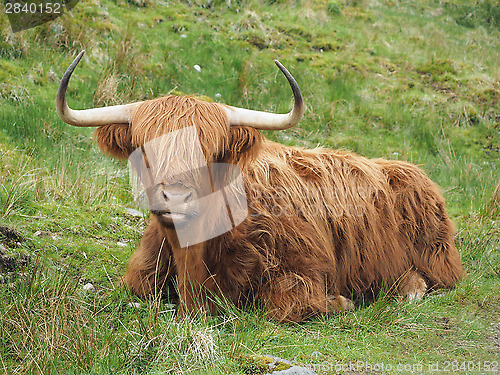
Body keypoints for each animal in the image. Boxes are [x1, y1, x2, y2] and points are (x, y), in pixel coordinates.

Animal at [54, 50, 460, 324]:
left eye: (211, 151)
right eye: (143, 149)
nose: (175, 198)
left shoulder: (304, 270)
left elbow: (285, 305)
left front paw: (344, 302)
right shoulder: (143, 272)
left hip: (437, 256)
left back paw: (408, 289)